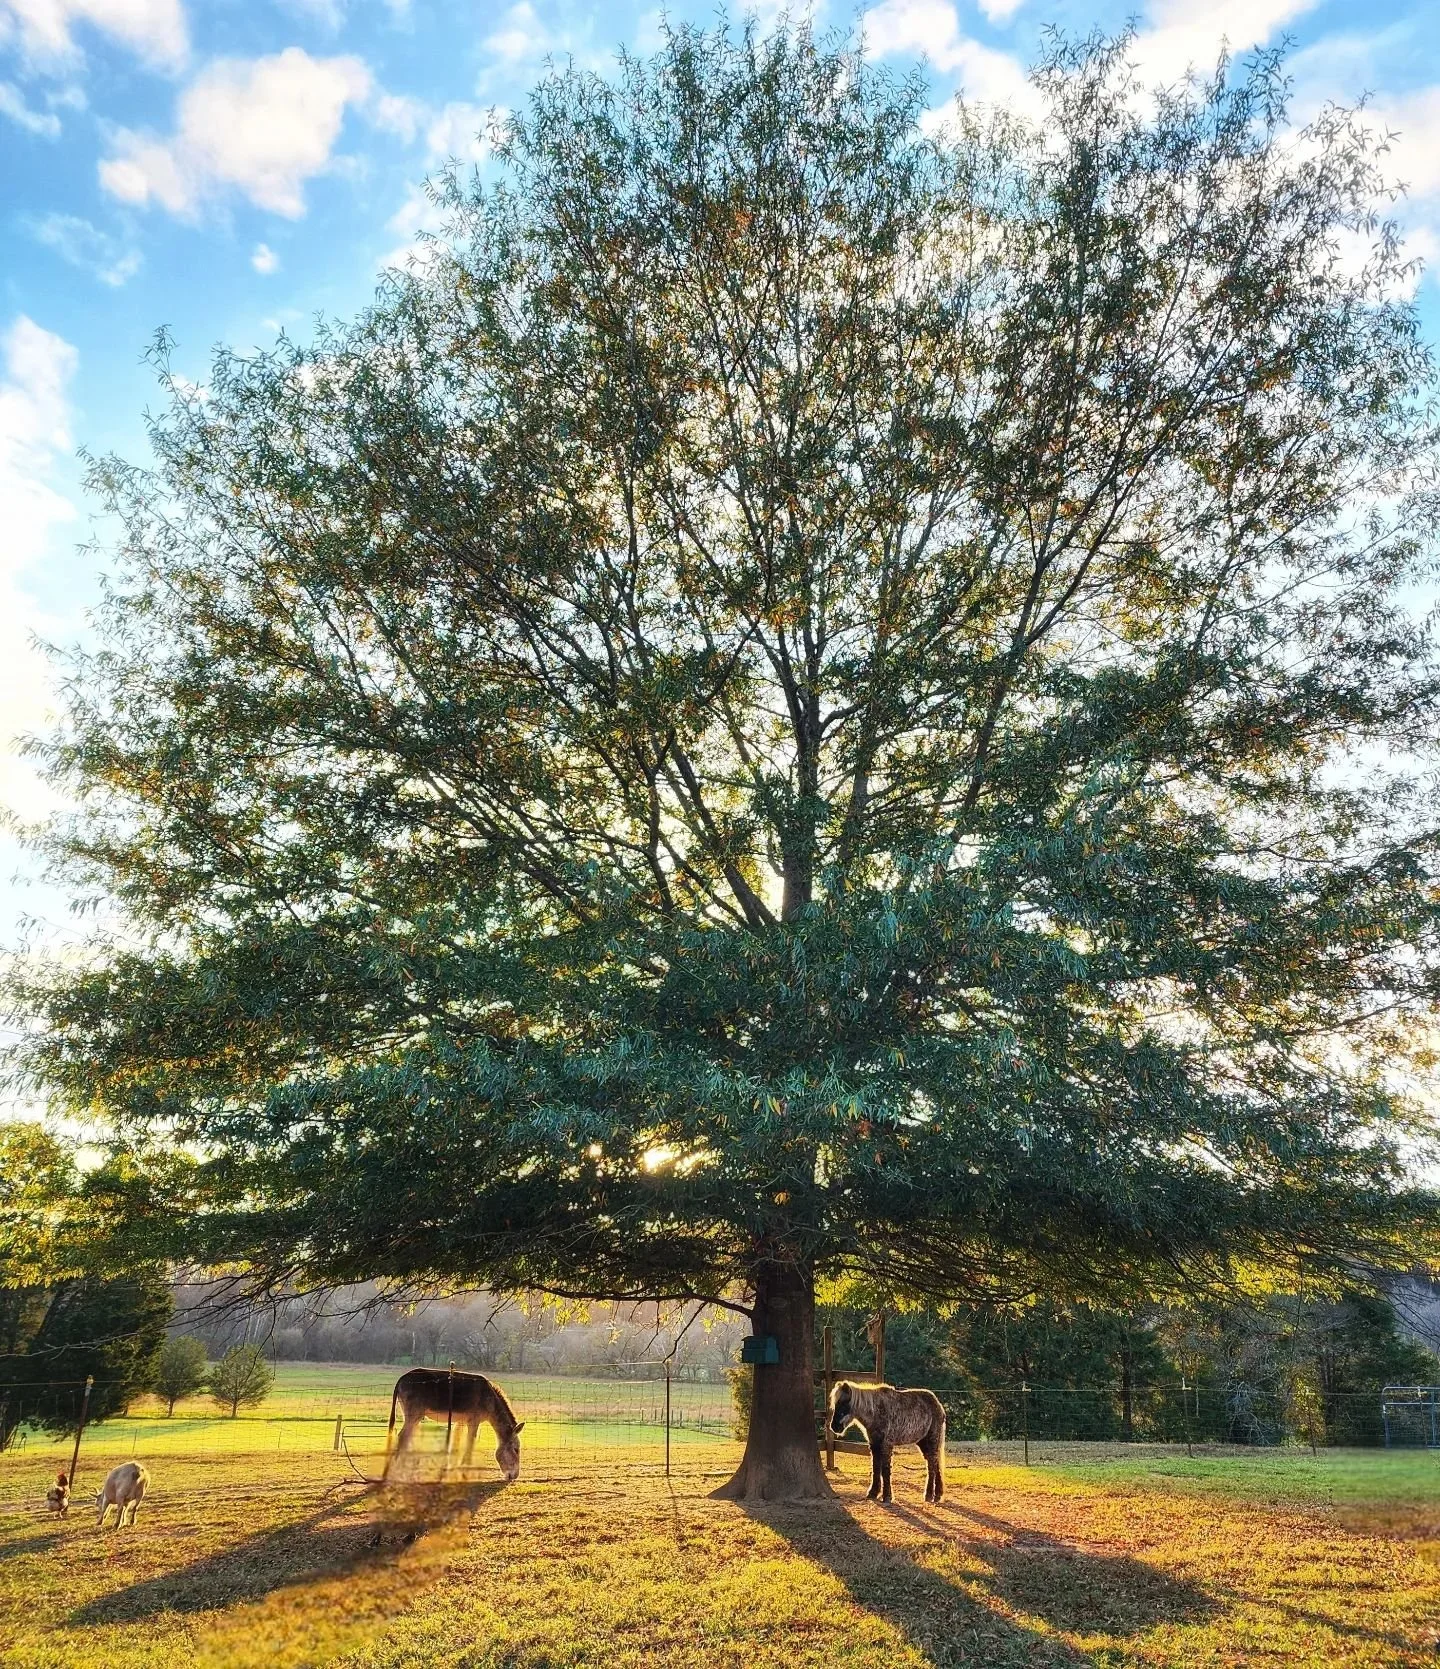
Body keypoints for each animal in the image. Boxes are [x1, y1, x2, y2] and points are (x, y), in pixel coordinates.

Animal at [384, 1367, 524, 1481]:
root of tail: (402, 1378)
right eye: (516, 1450)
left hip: (414, 1418)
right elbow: (470, 1443)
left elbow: (456, 1442)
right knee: (403, 1436)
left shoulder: (460, 1422)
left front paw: (452, 1468)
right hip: (414, 1415)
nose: (514, 1476)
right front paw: (465, 1469)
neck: (490, 1399)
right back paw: (397, 1468)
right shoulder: (474, 1421)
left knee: (407, 1437)